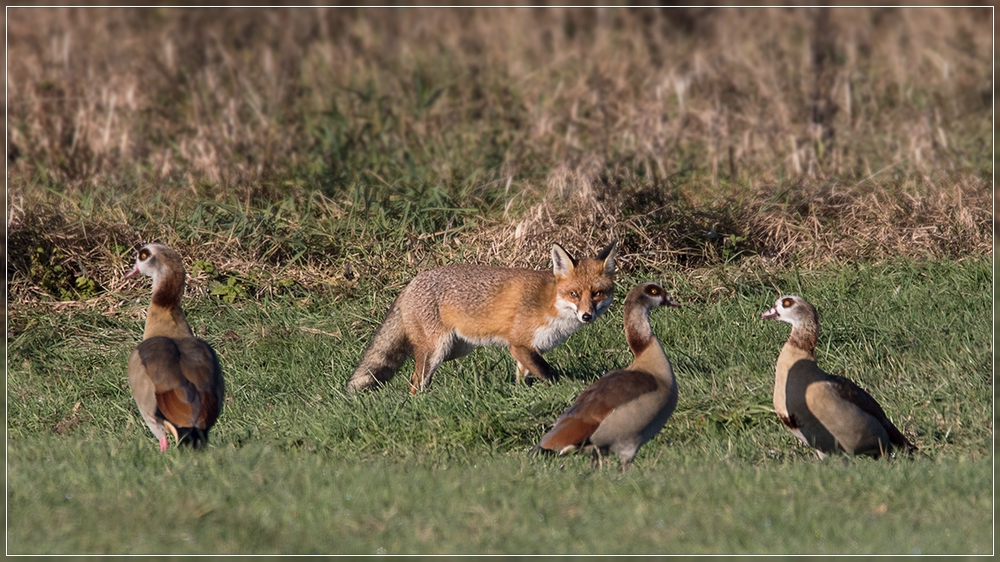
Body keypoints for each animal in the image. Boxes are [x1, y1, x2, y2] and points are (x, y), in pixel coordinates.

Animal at [348, 238, 620, 392]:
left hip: (454, 350)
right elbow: (549, 374)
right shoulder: (519, 344)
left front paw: (522, 395)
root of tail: (410, 284)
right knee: (415, 383)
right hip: (435, 350)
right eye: (574, 294)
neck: (552, 304)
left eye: (597, 293)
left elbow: (524, 377)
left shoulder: (529, 351)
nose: (587, 316)